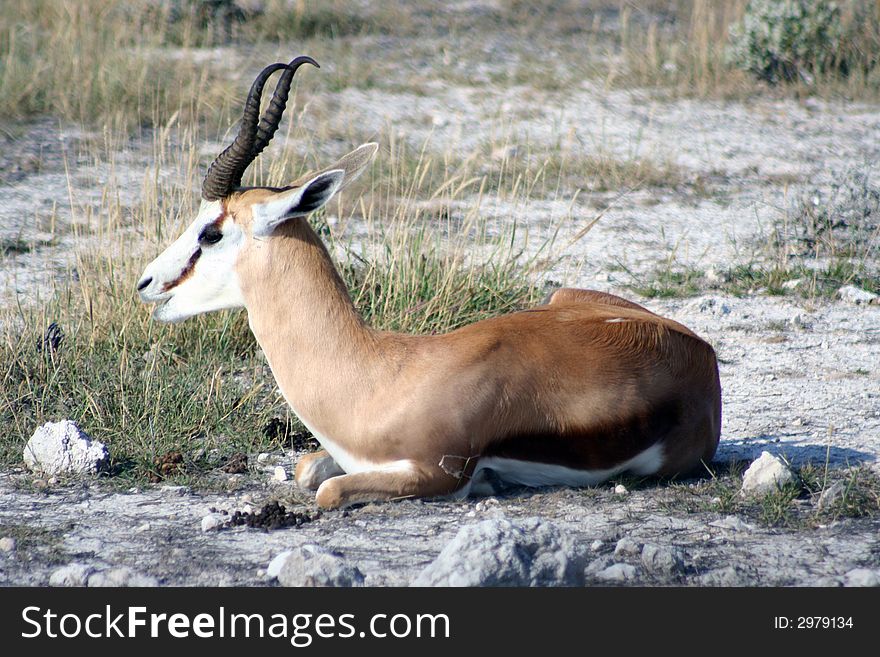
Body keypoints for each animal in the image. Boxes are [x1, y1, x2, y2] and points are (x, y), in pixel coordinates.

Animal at [139, 57, 720, 508]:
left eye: (211, 232)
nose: (147, 283)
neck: (377, 376)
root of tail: (703, 351)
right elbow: (308, 470)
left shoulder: (436, 472)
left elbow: (329, 491)